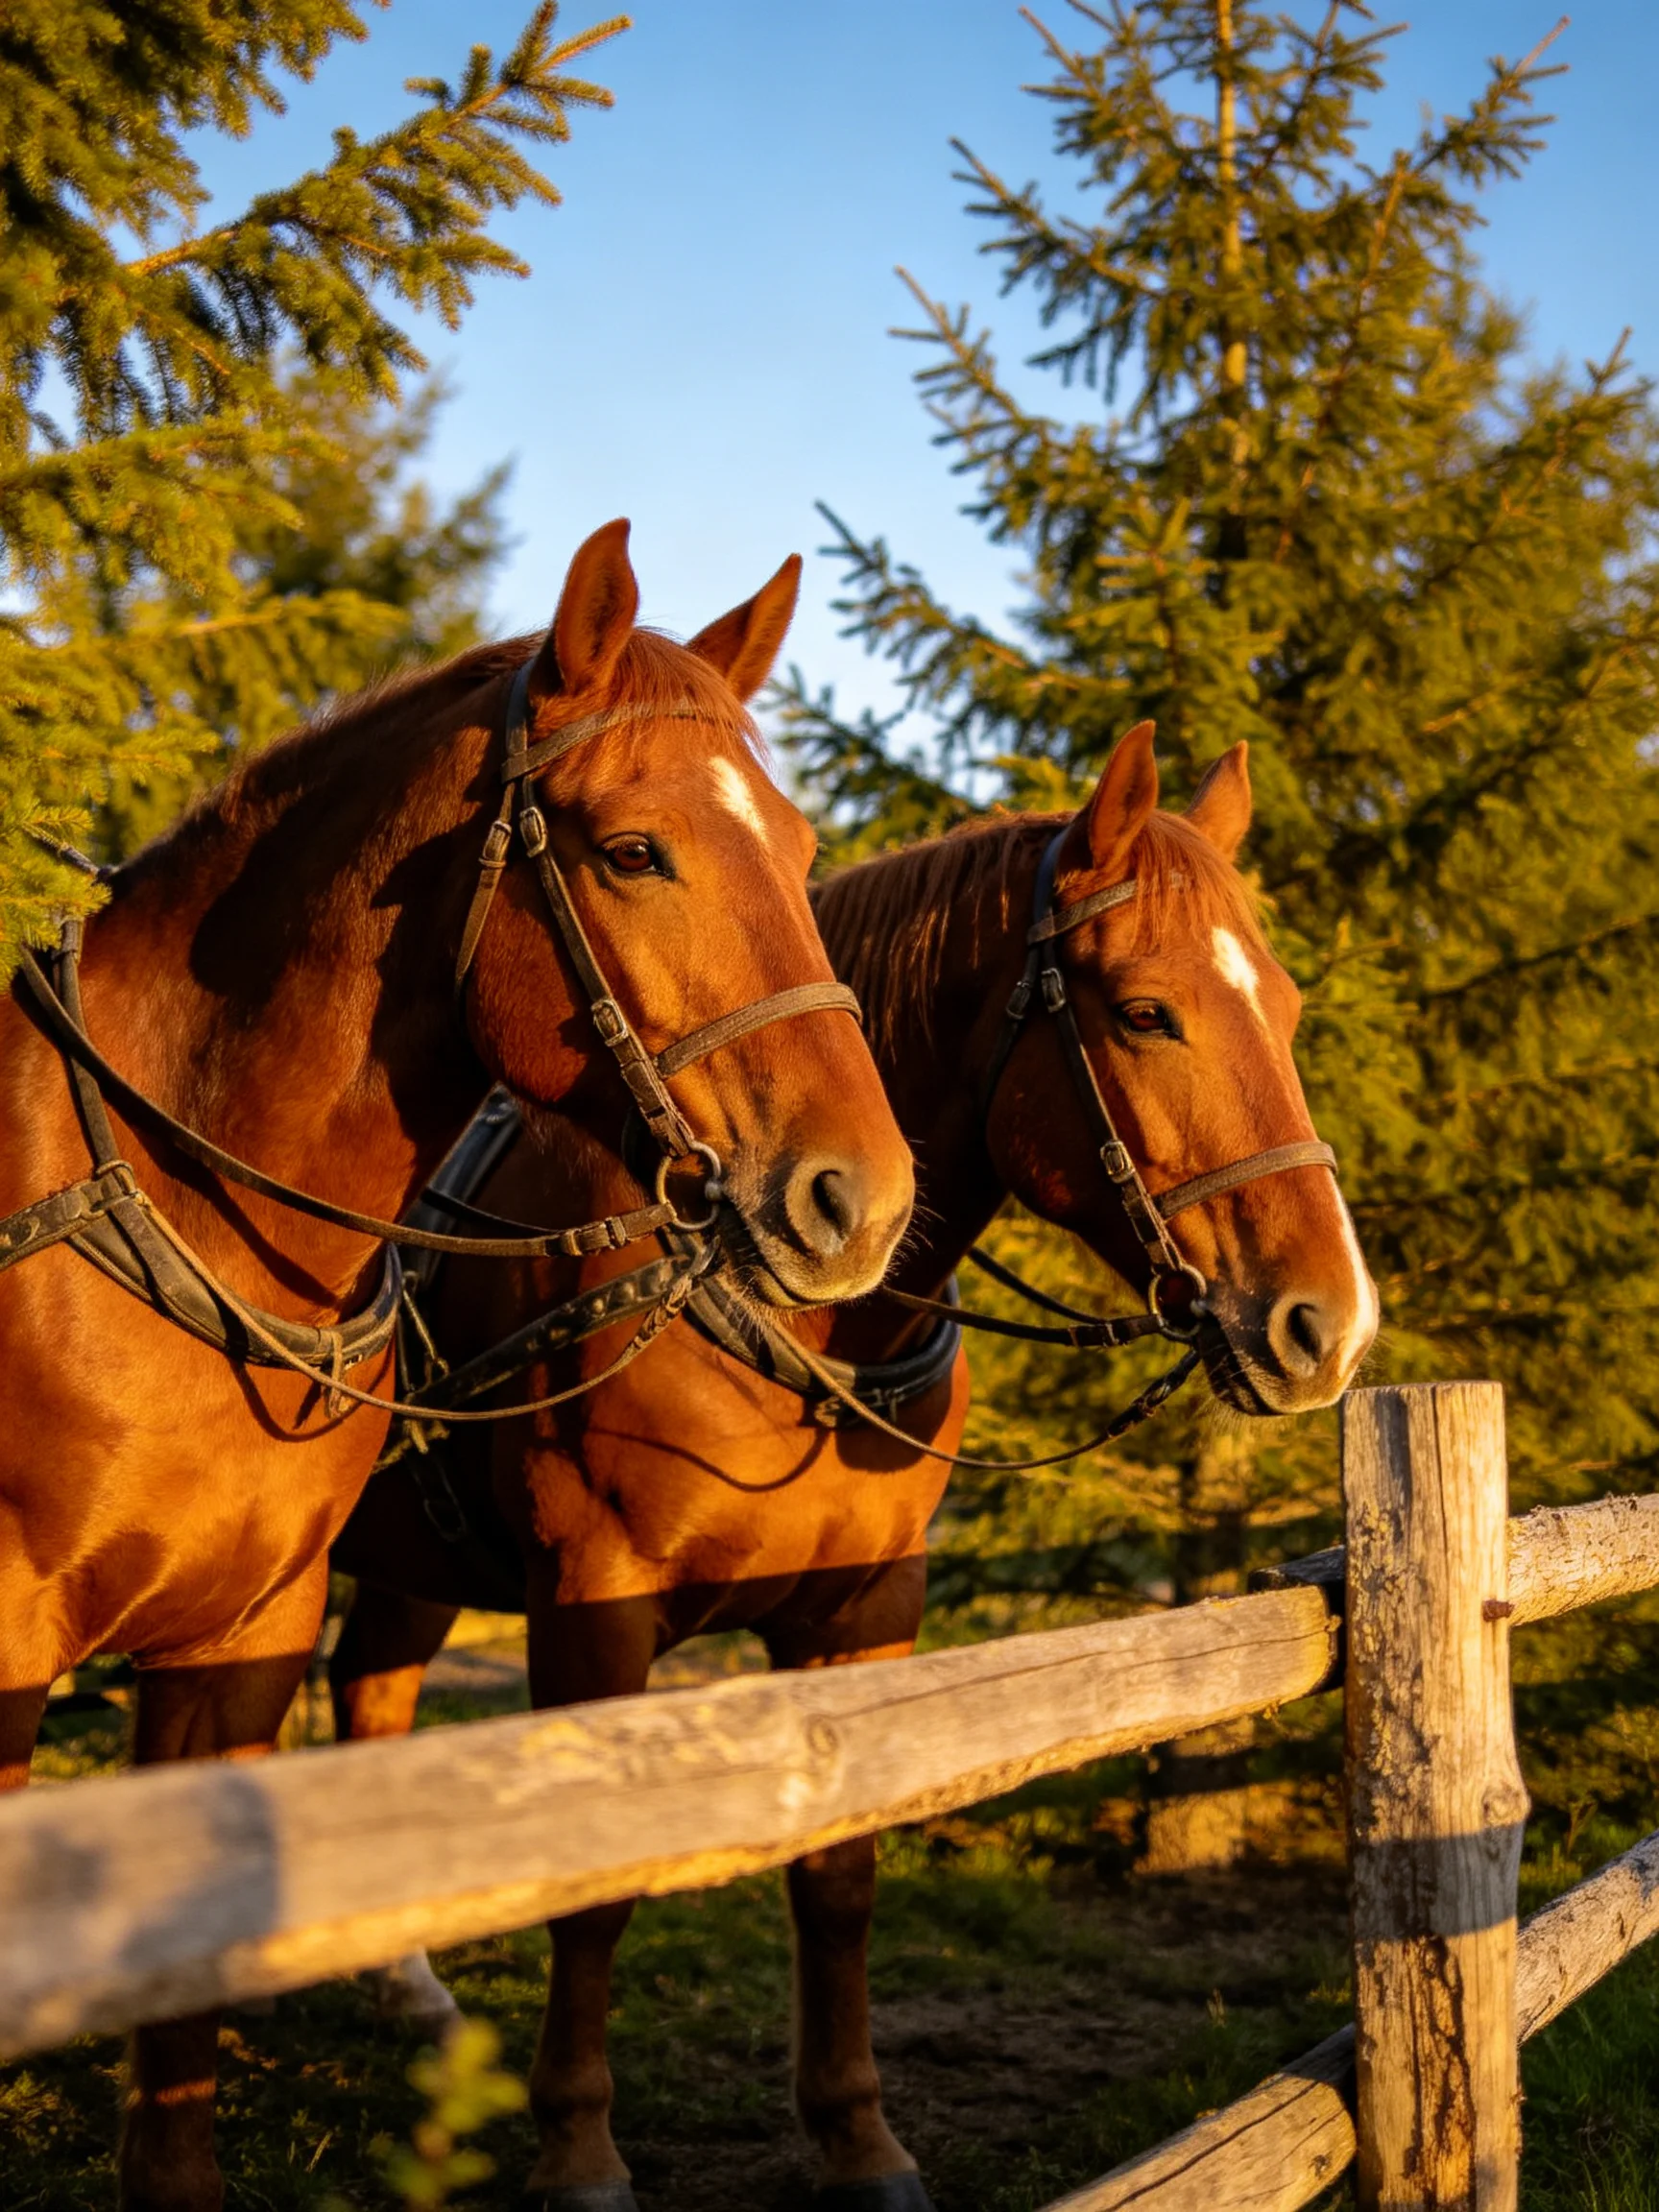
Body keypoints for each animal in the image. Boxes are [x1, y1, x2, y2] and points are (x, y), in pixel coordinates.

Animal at [326, 721, 1379, 2211]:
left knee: (369, 1693)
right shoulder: (593, 1609)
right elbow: (600, 1892)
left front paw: (858, 2141)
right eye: (1144, 1014)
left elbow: (838, 1881)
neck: (794, 1319)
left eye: (1282, 1010)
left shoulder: (868, 1614)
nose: (1329, 1324)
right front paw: (579, 2149)